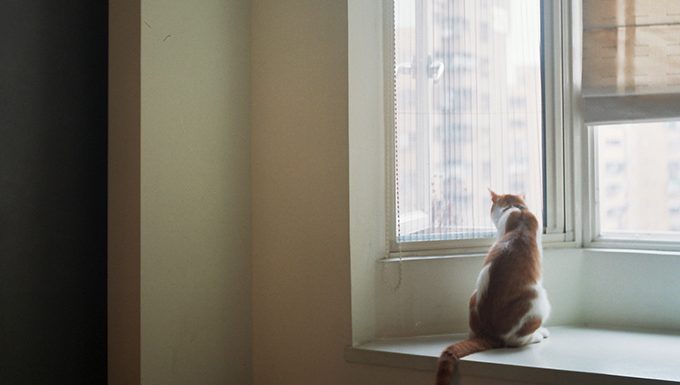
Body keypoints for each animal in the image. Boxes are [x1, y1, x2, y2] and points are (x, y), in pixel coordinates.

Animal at [436, 190, 552, 384]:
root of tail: (489, 333)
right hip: (539, 300)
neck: (517, 211)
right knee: (516, 341)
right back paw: (538, 335)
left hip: (473, 295)